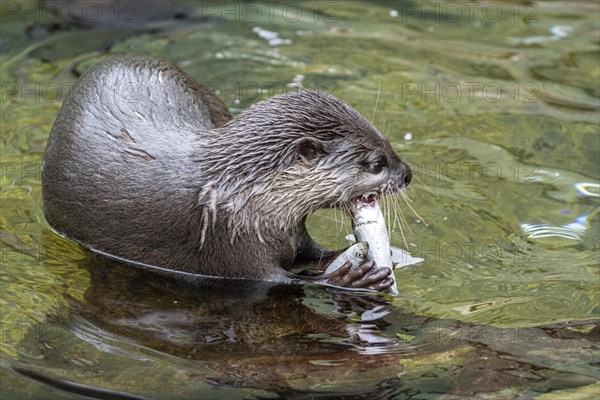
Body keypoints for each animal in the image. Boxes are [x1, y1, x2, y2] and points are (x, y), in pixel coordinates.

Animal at [39, 54, 410, 290]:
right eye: (376, 163)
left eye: (387, 141)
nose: (407, 174)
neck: (244, 196)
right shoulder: (229, 241)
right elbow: (283, 281)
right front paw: (349, 279)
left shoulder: (292, 229)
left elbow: (311, 254)